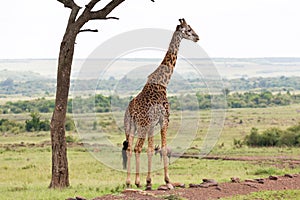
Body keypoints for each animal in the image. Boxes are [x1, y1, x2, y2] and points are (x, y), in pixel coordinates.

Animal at [122, 18, 199, 190]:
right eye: (189, 29)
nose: (198, 37)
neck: (163, 82)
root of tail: (130, 112)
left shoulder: (153, 124)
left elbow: (151, 149)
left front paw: (149, 180)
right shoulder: (164, 120)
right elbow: (162, 149)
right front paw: (167, 180)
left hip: (130, 127)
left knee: (130, 148)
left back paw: (129, 181)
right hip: (142, 126)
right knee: (137, 147)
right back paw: (136, 181)